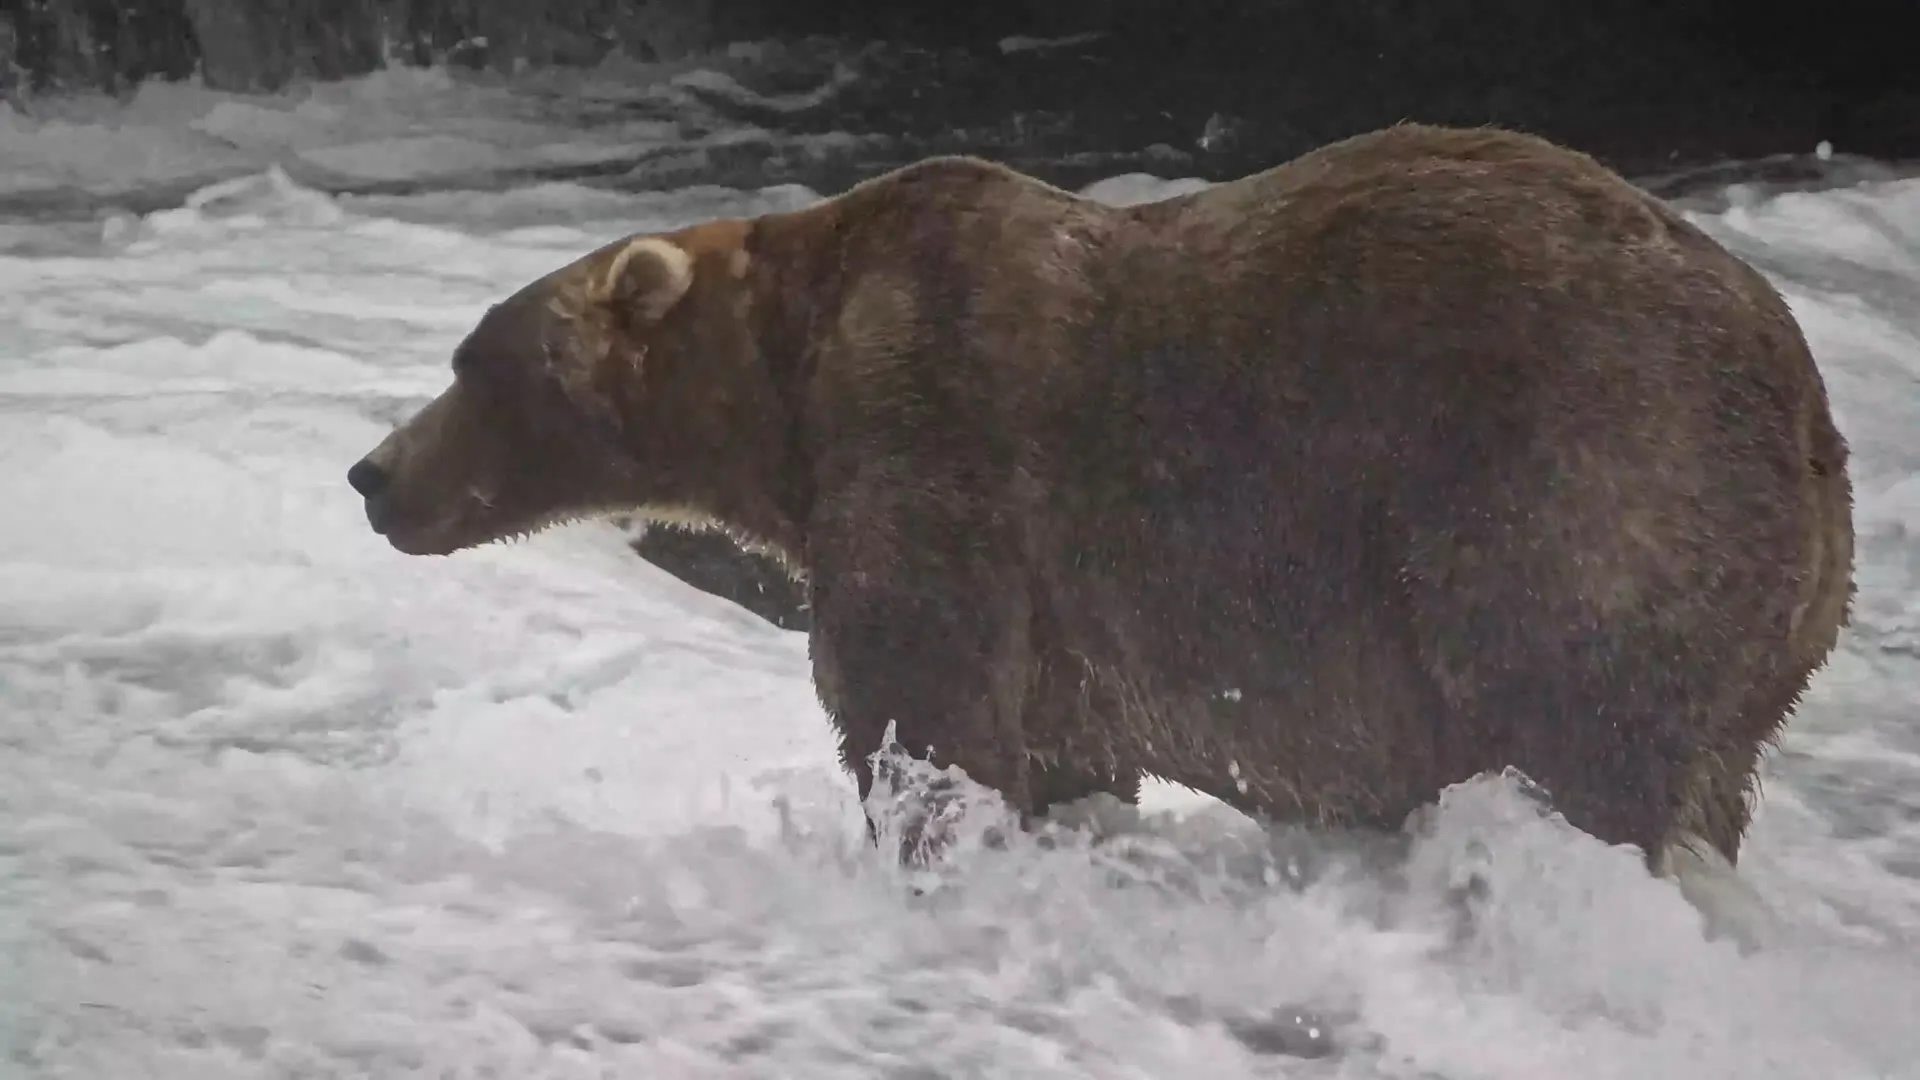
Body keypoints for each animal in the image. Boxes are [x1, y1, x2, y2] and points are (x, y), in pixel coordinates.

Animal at [346, 122, 1854, 874]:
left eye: (473, 361)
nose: (372, 475)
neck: (786, 387)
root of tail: (1811, 412)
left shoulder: (936, 440)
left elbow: (921, 703)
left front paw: (927, 839)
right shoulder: (1064, 615)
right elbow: (1061, 744)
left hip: (1578, 485)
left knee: (1574, 722)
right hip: (1762, 626)